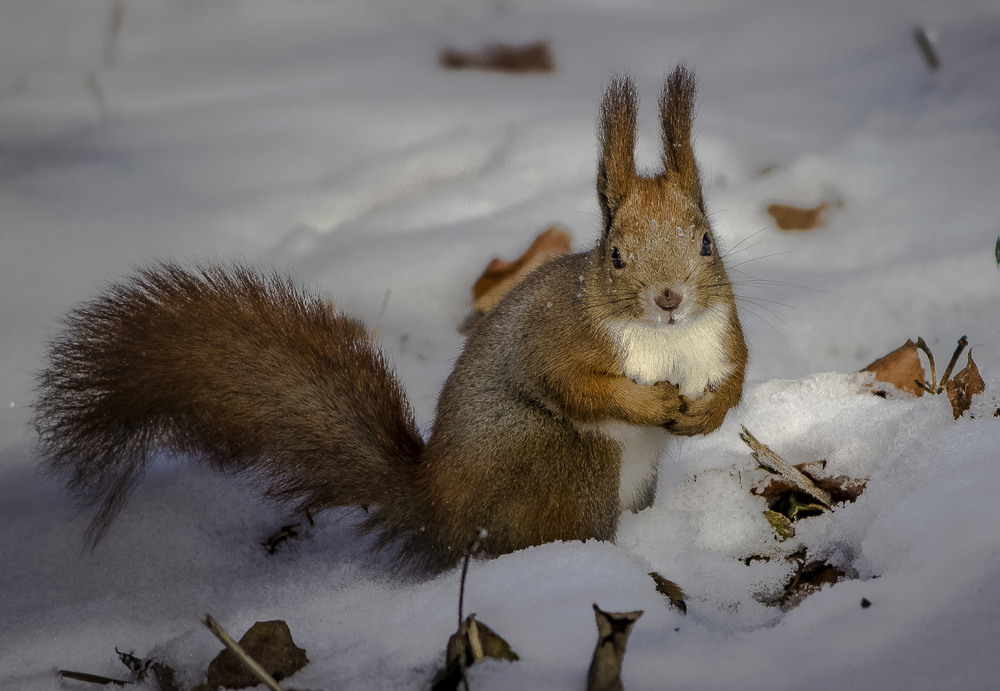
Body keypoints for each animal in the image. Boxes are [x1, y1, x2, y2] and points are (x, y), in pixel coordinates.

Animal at [35, 65, 744, 572]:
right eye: (616, 255)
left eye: (708, 242)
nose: (670, 297)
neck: (666, 342)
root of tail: (438, 509)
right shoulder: (558, 336)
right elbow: (570, 384)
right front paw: (651, 403)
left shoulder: (724, 334)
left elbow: (735, 381)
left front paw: (707, 412)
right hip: (565, 465)